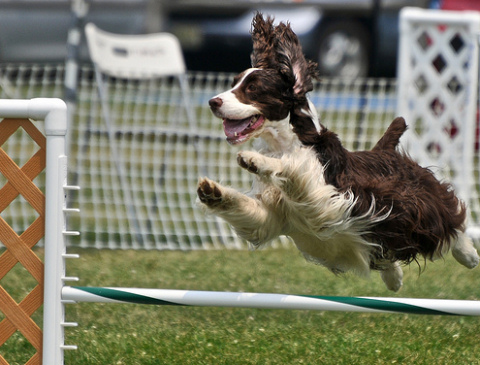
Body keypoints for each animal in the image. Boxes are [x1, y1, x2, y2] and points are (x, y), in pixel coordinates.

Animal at [197, 13, 478, 290]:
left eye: (252, 88)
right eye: (234, 83)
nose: (212, 102)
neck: (283, 144)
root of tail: (385, 150)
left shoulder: (327, 197)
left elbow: (293, 169)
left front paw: (255, 160)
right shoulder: (274, 217)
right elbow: (251, 213)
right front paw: (211, 191)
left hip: (419, 203)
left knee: (451, 222)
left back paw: (468, 255)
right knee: (385, 250)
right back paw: (394, 277)